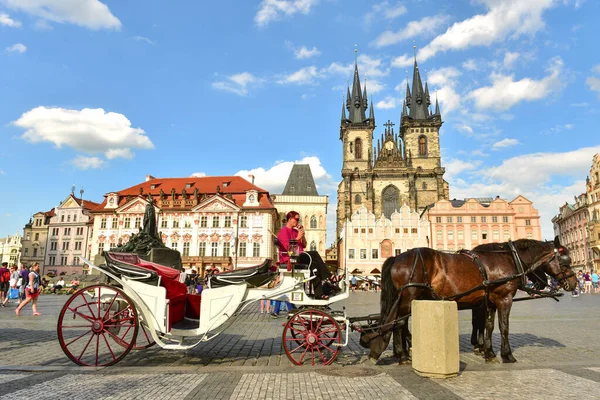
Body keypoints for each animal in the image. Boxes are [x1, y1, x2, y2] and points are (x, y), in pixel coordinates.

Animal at [360, 238, 576, 366]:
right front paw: (507, 355)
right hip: (408, 298)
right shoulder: (504, 299)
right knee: (399, 325)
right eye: (565, 261)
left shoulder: (489, 301)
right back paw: (403, 356)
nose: (573, 283)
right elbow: (503, 326)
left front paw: (488, 352)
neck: (507, 259)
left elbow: (487, 326)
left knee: (398, 325)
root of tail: (397, 257)